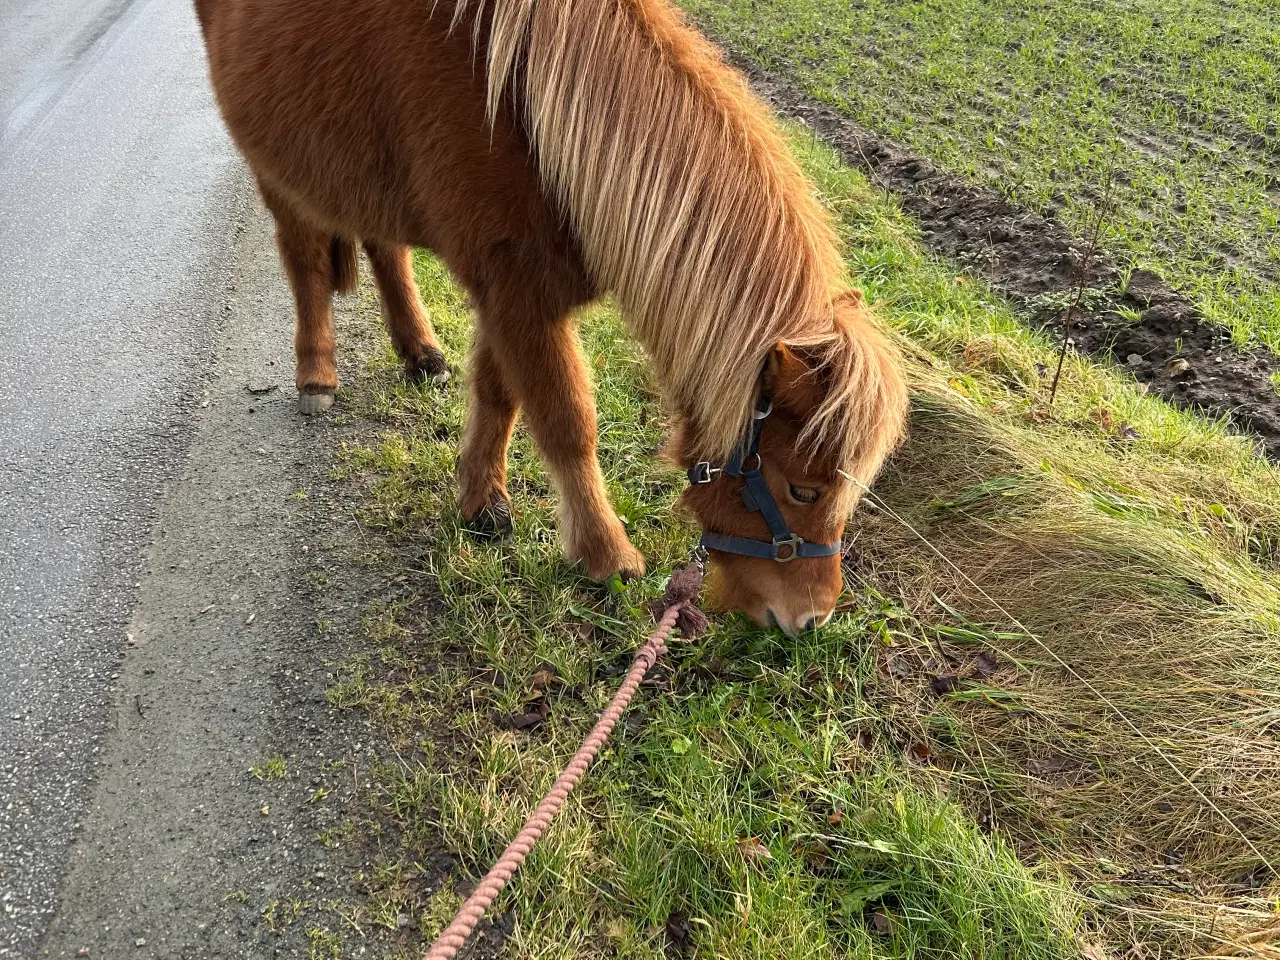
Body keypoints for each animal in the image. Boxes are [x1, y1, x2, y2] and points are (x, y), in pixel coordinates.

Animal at [189, 0, 911, 640]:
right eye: (805, 491)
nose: (811, 618)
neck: (528, 117)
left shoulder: (511, 293)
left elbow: (498, 392)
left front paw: (480, 500)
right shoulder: (517, 293)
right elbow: (566, 422)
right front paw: (603, 554)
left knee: (385, 248)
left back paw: (420, 351)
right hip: (277, 171)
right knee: (305, 260)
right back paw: (316, 374)